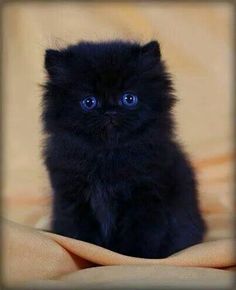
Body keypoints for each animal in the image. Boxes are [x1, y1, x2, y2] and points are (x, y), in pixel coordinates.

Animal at [42, 39, 205, 258]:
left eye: (129, 99)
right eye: (89, 102)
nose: (110, 111)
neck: (108, 154)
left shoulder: (146, 198)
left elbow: (141, 234)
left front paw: (133, 257)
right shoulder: (72, 198)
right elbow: (80, 234)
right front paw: (86, 252)